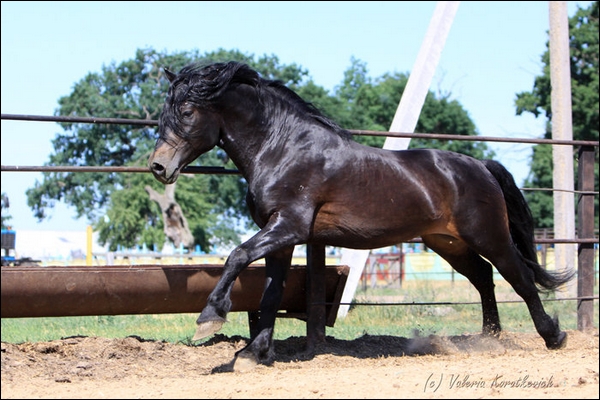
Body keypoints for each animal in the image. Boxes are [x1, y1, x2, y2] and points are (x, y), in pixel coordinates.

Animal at [148, 61, 576, 370]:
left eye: (186, 111)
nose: (158, 167)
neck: (282, 148)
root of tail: (481, 166)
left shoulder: (289, 227)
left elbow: (236, 256)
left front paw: (210, 317)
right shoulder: (278, 237)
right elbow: (269, 293)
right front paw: (254, 354)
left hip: (490, 236)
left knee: (519, 279)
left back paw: (553, 337)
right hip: (447, 243)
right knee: (484, 277)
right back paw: (490, 340)